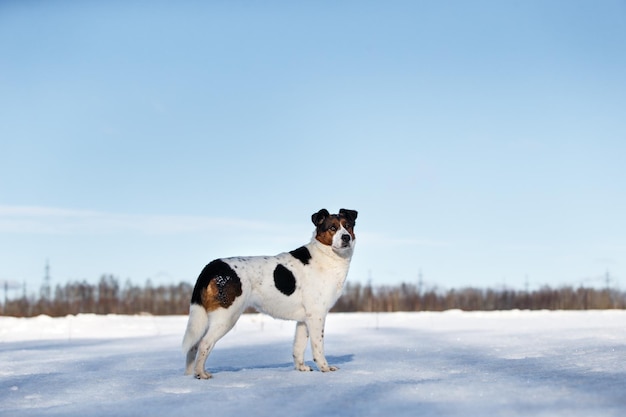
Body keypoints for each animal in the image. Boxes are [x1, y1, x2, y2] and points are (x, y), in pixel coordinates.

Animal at [180, 207, 356, 376]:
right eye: (333, 228)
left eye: (348, 226)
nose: (346, 237)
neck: (326, 255)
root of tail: (213, 266)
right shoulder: (316, 316)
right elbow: (318, 347)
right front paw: (325, 368)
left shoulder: (304, 320)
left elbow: (298, 347)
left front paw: (301, 368)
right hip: (226, 317)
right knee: (204, 343)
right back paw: (201, 374)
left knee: (193, 346)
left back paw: (190, 376)